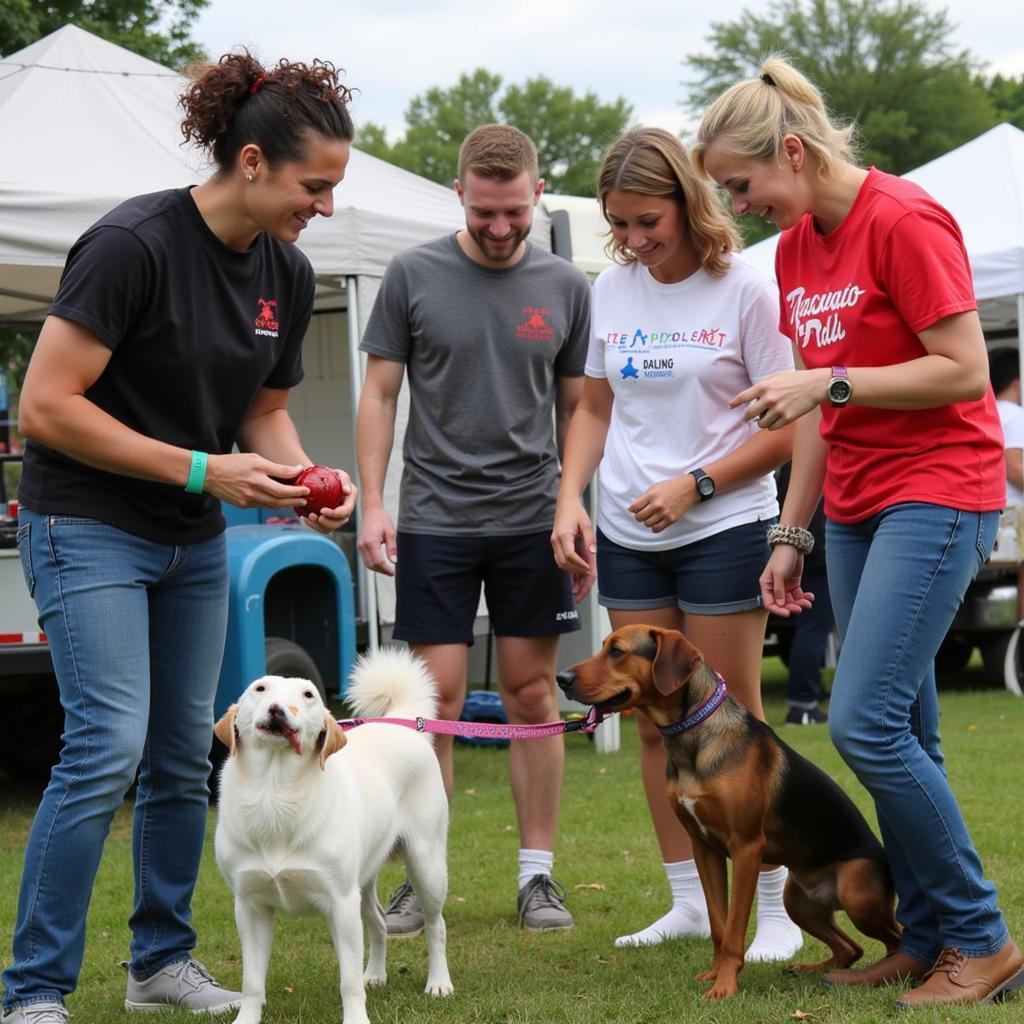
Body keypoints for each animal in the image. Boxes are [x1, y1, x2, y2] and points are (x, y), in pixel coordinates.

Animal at [214, 647, 454, 1024]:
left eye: (308, 695)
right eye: (260, 689)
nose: (278, 709)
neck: (274, 794)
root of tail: (401, 722)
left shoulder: (340, 903)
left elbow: (349, 981)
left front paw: (356, 1019)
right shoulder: (249, 906)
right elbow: (251, 981)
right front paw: (246, 1019)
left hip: (425, 864)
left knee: (436, 925)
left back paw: (439, 982)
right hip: (363, 881)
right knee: (379, 922)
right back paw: (376, 974)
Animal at [557, 622, 901, 999]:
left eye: (617, 651)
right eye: (603, 645)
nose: (561, 678)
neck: (694, 737)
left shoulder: (747, 849)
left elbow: (735, 927)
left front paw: (724, 987)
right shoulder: (704, 848)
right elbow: (719, 925)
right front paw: (714, 974)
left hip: (857, 895)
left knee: (896, 939)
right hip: (799, 903)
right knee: (851, 948)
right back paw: (810, 969)